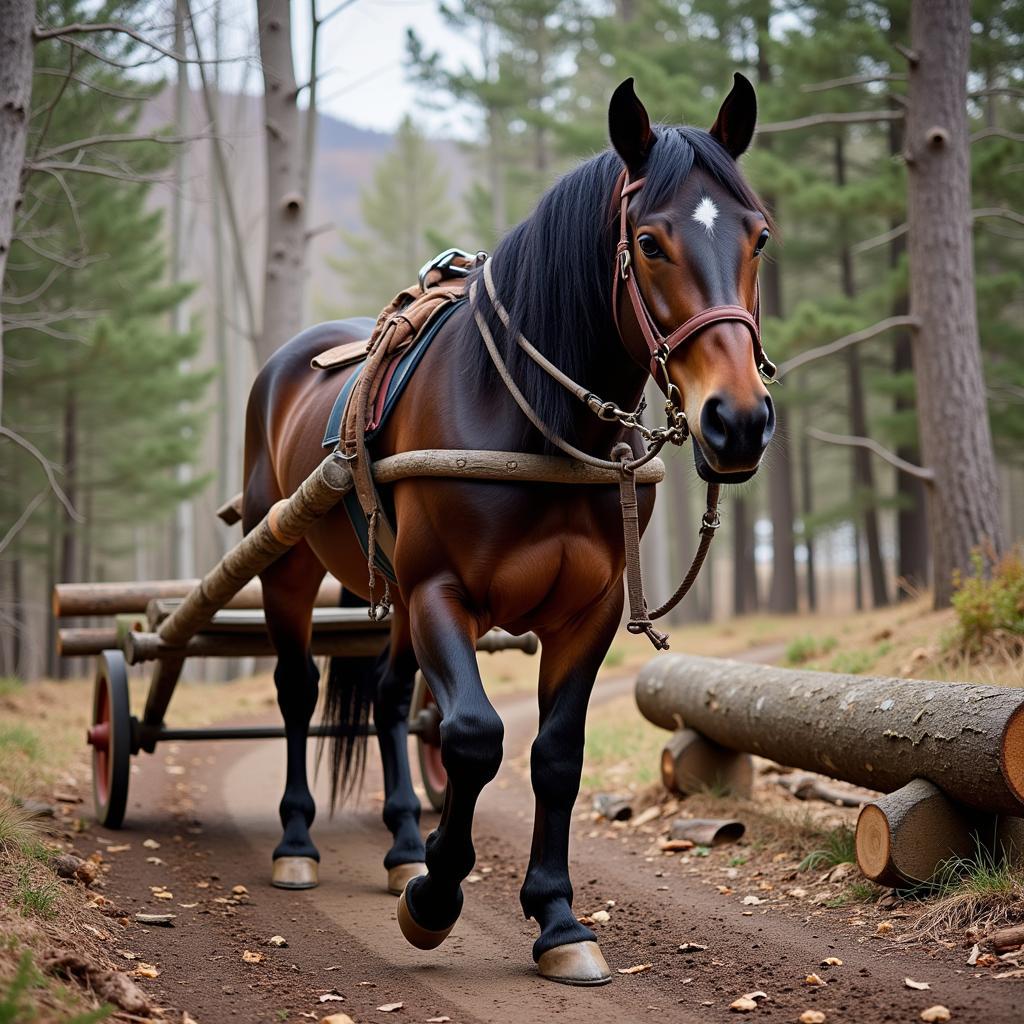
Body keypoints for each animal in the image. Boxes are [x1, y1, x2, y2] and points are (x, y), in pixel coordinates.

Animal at [243, 72, 770, 983]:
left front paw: (557, 919)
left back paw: (402, 847)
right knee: (297, 690)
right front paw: (436, 899)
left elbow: (554, 754)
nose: (737, 421)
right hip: (287, 565)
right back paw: (299, 842)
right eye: (651, 243)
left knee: (389, 697)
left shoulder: (588, 611)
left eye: (760, 238)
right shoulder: (439, 592)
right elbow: (474, 736)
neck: (535, 417)